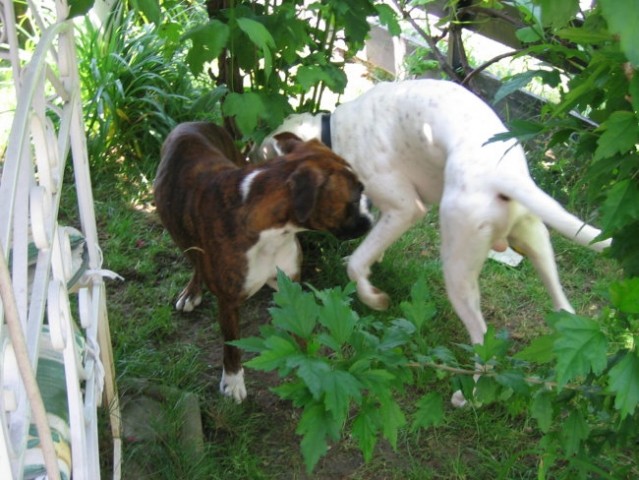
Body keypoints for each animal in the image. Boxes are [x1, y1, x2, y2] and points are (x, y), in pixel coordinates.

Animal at [262, 79, 612, 404]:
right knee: (564, 309)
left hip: (457, 271)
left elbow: (359, 263)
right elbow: (370, 249)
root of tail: (499, 172)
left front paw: (372, 297)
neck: (332, 133)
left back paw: (471, 395)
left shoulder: (404, 209)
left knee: (482, 339)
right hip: (535, 243)